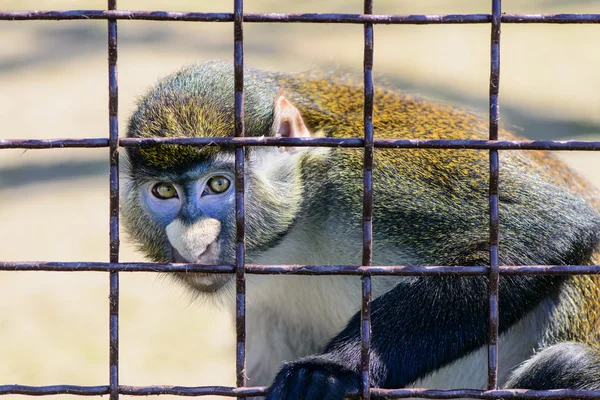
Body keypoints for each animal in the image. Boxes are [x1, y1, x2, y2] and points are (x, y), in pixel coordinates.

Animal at [120, 61, 600, 398]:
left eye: (218, 185)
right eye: (164, 192)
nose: (193, 242)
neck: (299, 229)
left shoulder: (378, 177)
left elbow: (542, 231)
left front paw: (331, 369)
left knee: (566, 362)